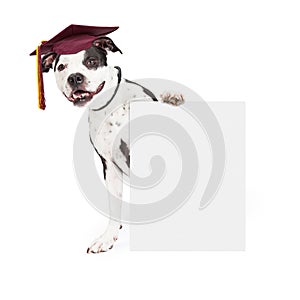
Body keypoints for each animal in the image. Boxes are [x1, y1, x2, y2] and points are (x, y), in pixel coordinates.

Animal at [41, 37, 184, 253]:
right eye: (61, 67)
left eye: (91, 61)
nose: (75, 78)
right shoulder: (110, 166)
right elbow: (114, 205)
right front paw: (108, 237)